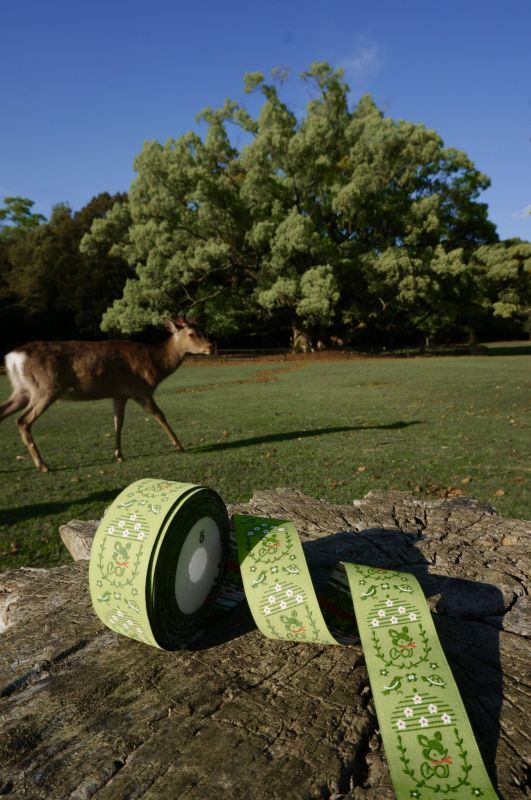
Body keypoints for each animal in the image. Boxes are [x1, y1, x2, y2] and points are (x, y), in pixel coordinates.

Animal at [0, 318, 212, 472]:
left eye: (203, 329)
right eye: (192, 333)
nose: (210, 347)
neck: (155, 365)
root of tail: (12, 357)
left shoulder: (119, 394)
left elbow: (118, 423)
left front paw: (118, 455)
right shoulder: (140, 389)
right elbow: (159, 415)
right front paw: (180, 446)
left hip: (22, 390)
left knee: (4, 412)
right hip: (45, 389)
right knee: (22, 420)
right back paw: (43, 465)